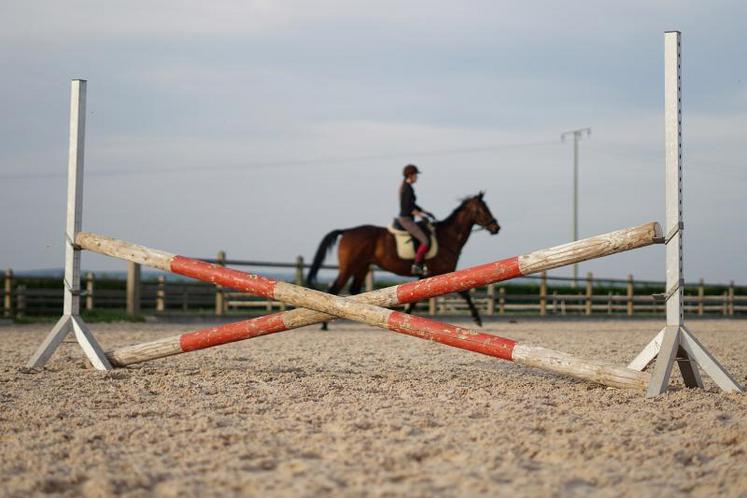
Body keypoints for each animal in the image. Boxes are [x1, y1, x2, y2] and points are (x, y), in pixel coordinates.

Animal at [306, 192, 501, 328]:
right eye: (483, 209)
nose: (496, 227)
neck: (448, 237)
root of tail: (347, 231)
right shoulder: (443, 271)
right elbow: (465, 293)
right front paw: (477, 318)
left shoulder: (426, 276)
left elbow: (414, 299)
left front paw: (406, 315)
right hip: (349, 266)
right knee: (334, 289)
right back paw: (324, 325)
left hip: (362, 266)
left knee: (353, 290)